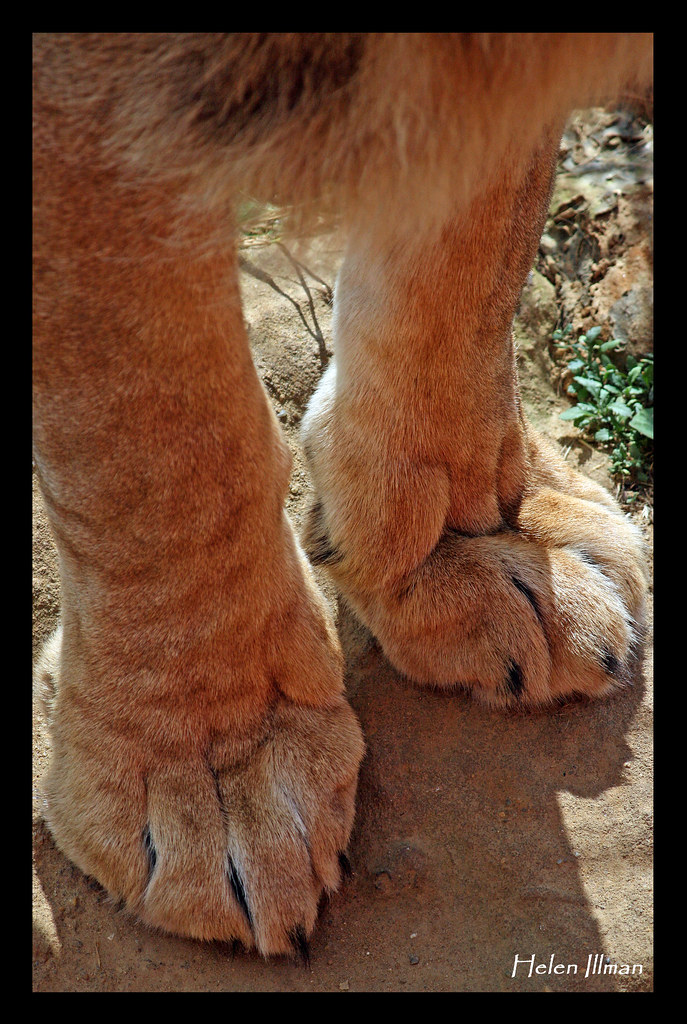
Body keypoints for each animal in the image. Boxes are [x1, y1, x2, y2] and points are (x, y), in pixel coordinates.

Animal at [33, 33, 652, 959]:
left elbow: (477, 256)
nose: (211, 786)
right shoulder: (97, 111)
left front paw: (486, 545)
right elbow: (148, 439)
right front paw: (215, 778)